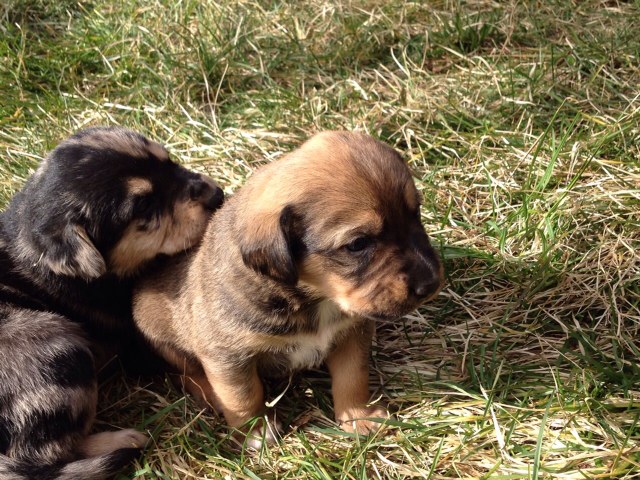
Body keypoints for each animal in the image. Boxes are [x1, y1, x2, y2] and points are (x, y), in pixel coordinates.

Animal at [0, 125, 225, 478]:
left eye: (168, 160)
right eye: (144, 206)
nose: (218, 195)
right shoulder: (138, 342)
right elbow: (193, 367)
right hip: (59, 348)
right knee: (42, 455)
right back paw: (126, 441)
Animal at [134, 130, 444, 446]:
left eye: (416, 213)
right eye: (358, 244)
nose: (431, 284)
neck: (315, 297)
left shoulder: (352, 331)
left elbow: (352, 377)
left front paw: (360, 416)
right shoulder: (227, 355)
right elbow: (242, 395)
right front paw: (255, 431)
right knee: (188, 373)